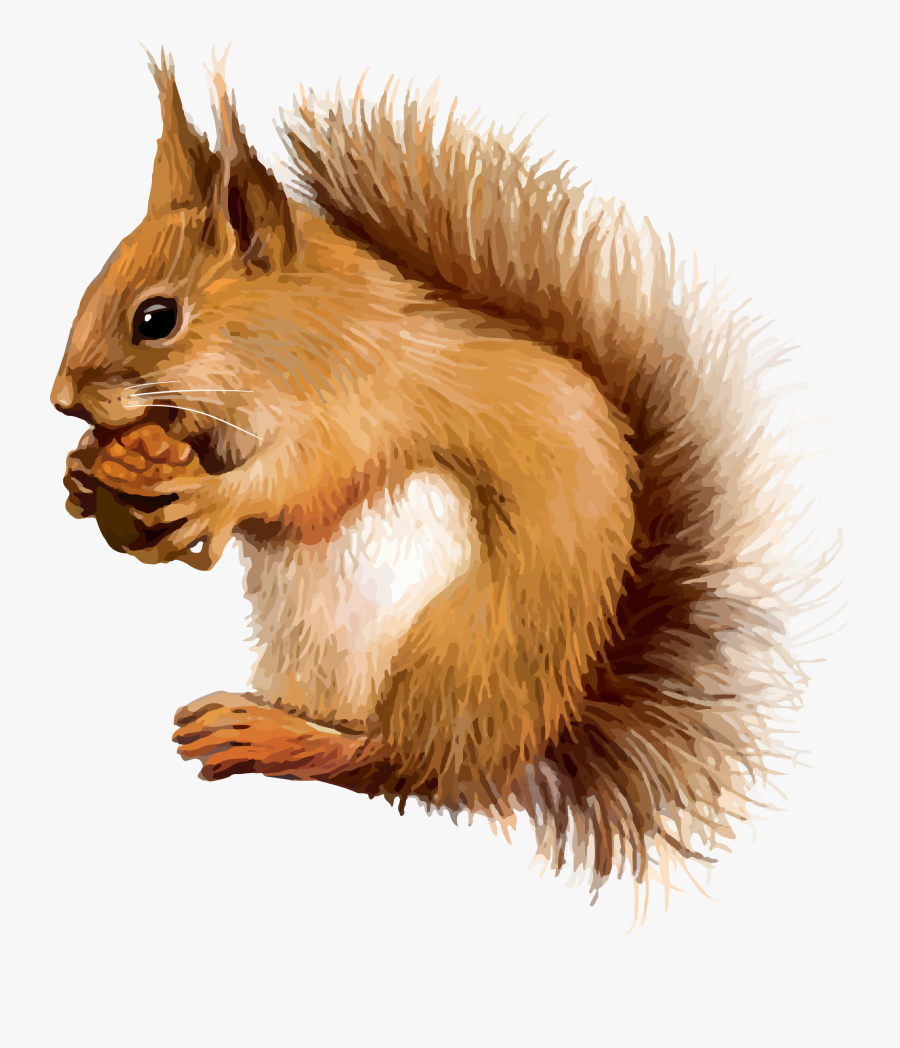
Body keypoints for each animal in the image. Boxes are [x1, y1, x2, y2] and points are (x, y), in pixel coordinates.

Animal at [51, 51, 805, 894]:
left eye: (157, 319)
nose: (61, 400)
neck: (298, 336)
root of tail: (531, 735)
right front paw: (83, 475)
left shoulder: (367, 407)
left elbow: (303, 480)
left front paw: (210, 499)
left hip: (444, 648)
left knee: (394, 762)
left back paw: (274, 737)